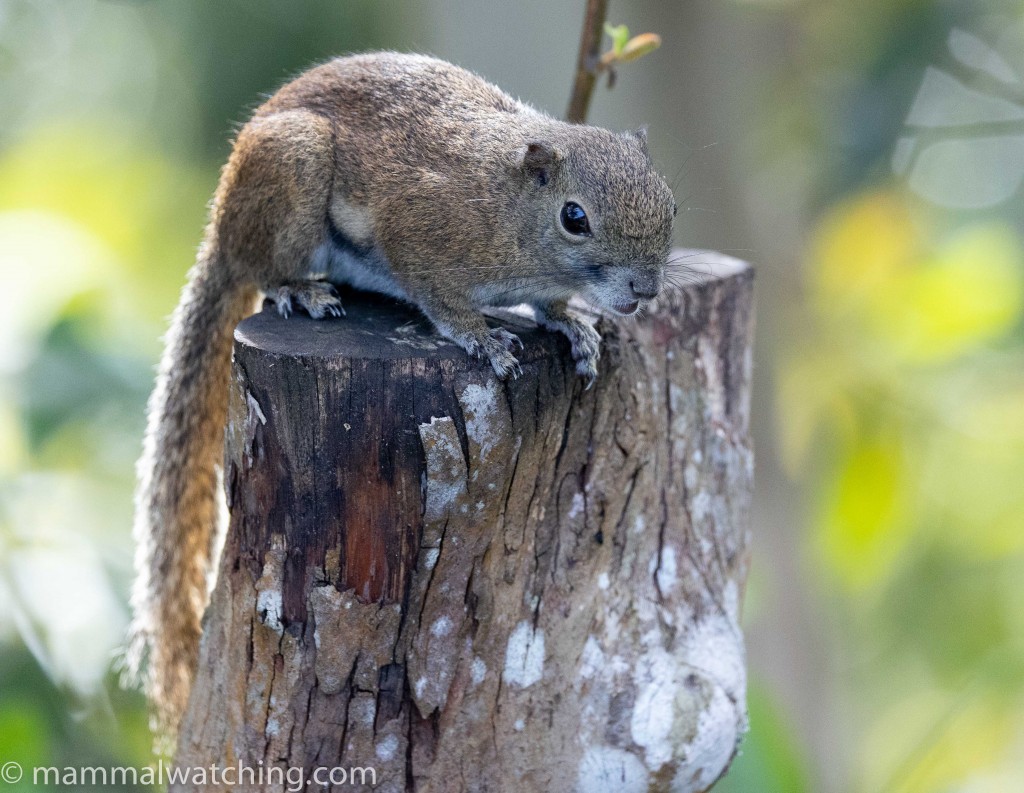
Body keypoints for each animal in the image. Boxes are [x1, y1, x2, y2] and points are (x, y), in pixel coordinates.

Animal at [127, 52, 676, 735]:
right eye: (575, 218)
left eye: (671, 205)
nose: (644, 290)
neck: (508, 205)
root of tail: (221, 237)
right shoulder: (417, 229)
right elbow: (440, 298)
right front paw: (481, 337)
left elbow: (552, 305)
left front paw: (572, 324)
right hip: (290, 173)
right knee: (264, 268)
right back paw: (298, 289)